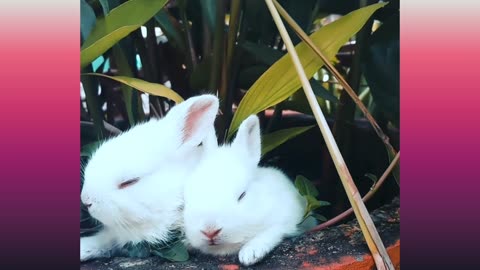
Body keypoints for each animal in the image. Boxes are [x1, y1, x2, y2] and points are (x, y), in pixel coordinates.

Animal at [182, 114, 310, 266]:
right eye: (187, 198)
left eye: (242, 195)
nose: (210, 231)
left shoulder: (284, 222)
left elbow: (269, 233)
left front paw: (250, 254)